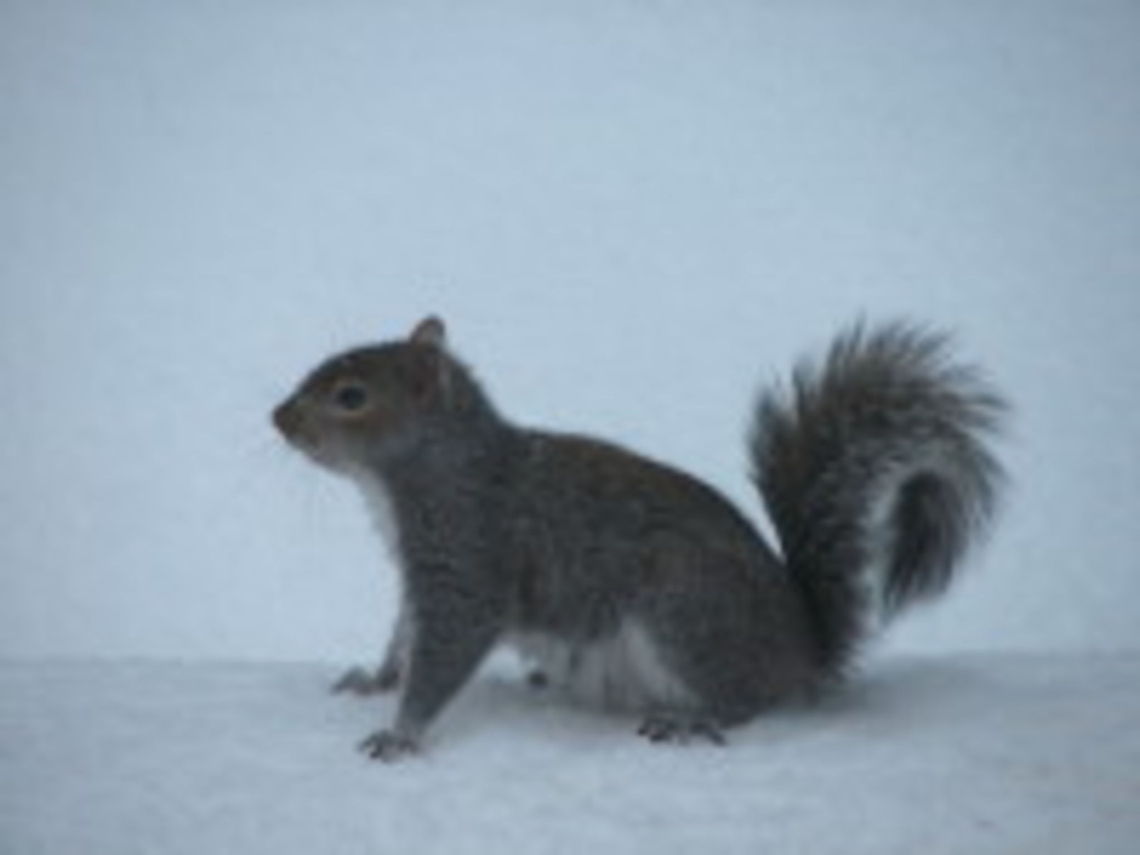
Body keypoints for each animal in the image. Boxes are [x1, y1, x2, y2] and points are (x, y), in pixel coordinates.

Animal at [272, 315, 1006, 761]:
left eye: (351, 396)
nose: (277, 418)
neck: (433, 470)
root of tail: (802, 652)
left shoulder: (471, 555)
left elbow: (444, 651)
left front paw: (401, 733)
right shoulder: (419, 575)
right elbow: (404, 635)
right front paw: (375, 679)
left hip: (683, 609)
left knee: (748, 700)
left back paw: (694, 720)